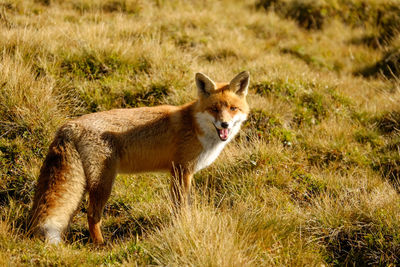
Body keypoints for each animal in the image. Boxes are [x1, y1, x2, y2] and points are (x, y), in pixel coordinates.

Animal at [29, 70, 250, 245]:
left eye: (233, 109)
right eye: (214, 109)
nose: (224, 124)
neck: (195, 126)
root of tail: (70, 125)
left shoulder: (177, 172)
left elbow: (178, 205)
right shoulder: (182, 170)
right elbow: (181, 207)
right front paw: (183, 226)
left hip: (87, 183)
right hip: (103, 183)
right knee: (92, 215)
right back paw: (101, 244)